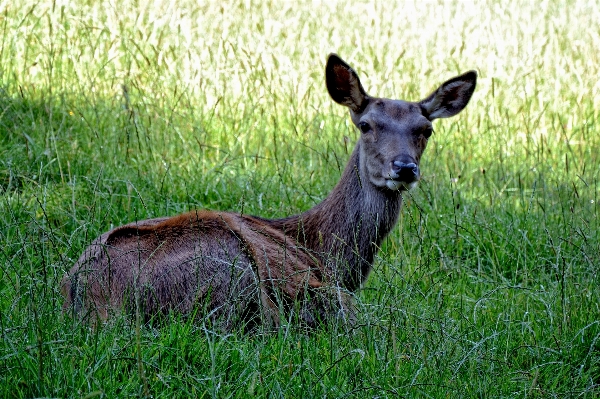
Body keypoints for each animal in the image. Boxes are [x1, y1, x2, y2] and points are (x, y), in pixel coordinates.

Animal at [62, 54, 478, 332]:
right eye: (366, 125)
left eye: (426, 130)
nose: (404, 167)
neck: (324, 251)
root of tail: (91, 299)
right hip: (231, 270)